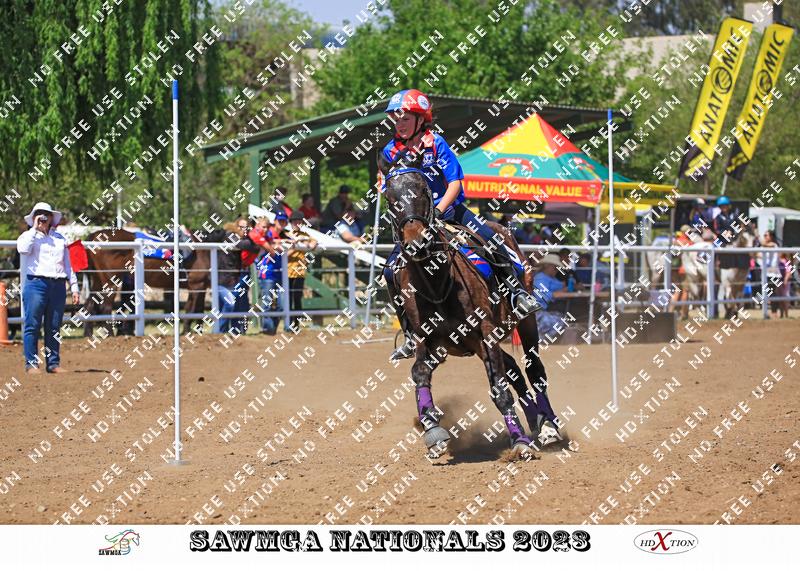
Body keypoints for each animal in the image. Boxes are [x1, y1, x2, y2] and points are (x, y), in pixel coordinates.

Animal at [379, 152, 561, 460]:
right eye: (391, 198)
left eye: (423, 190)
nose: (417, 243)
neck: (438, 282)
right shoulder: (426, 341)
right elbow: (419, 374)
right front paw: (433, 432)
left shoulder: (486, 330)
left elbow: (499, 389)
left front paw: (519, 442)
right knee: (514, 369)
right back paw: (534, 421)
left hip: (524, 324)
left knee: (534, 369)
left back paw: (548, 426)